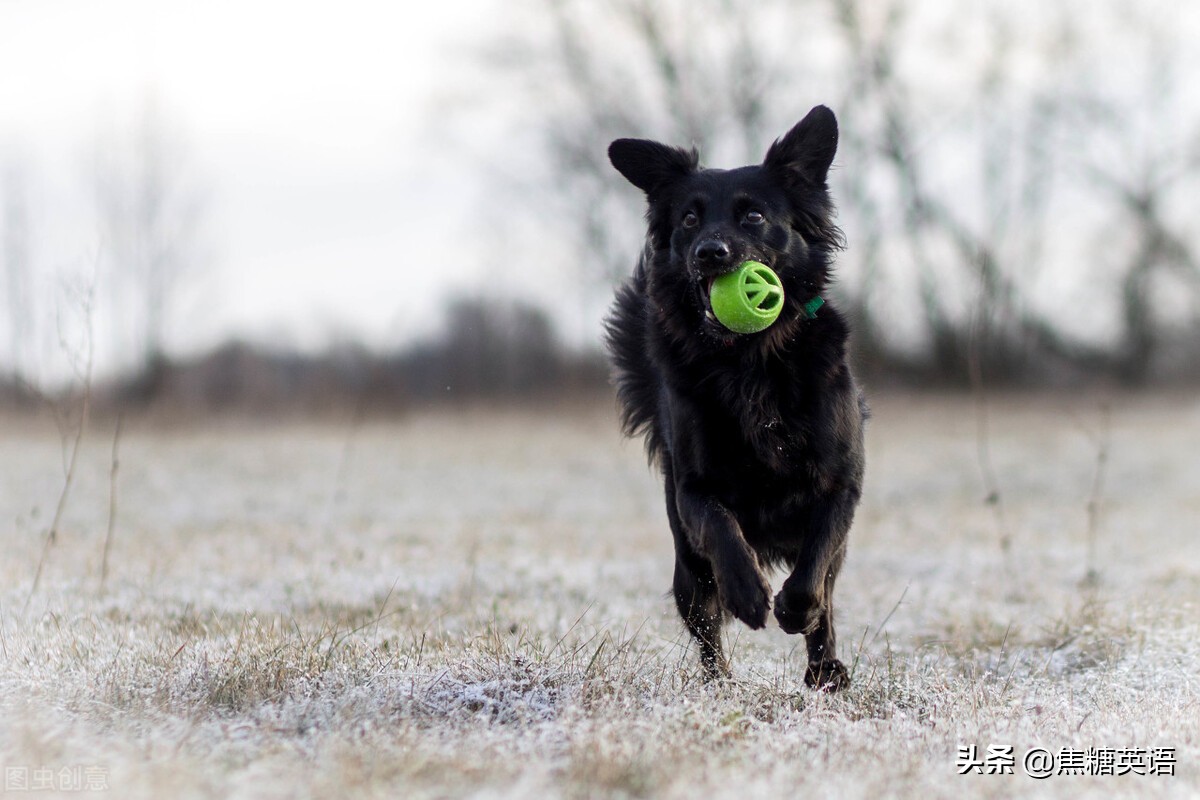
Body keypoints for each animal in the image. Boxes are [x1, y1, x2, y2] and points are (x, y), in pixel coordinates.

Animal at [604, 106, 868, 690]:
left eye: (753, 215)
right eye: (688, 220)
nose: (711, 252)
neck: (750, 360)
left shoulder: (840, 482)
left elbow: (816, 564)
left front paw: (795, 609)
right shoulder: (694, 489)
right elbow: (723, 528)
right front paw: (748, 594)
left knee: (827, 594)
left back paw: (825, 669)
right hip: (687, 566)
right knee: (705, 624)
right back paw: (719, 683)